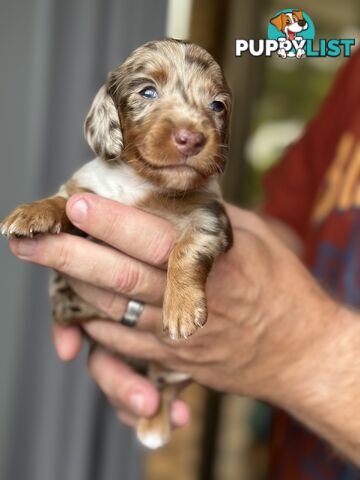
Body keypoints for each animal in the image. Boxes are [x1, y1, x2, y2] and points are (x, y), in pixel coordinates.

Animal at [0, 39, 233, 448]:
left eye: (217, 105)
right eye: (148, 92)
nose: (192, 138)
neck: (141, 183)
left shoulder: (211, 217)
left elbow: (187, 248)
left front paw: (181, 308)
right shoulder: (86, 196)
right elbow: (64, 203)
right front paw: (32, 212)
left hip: (172, 369)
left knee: (165, 386)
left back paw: (153, 425)